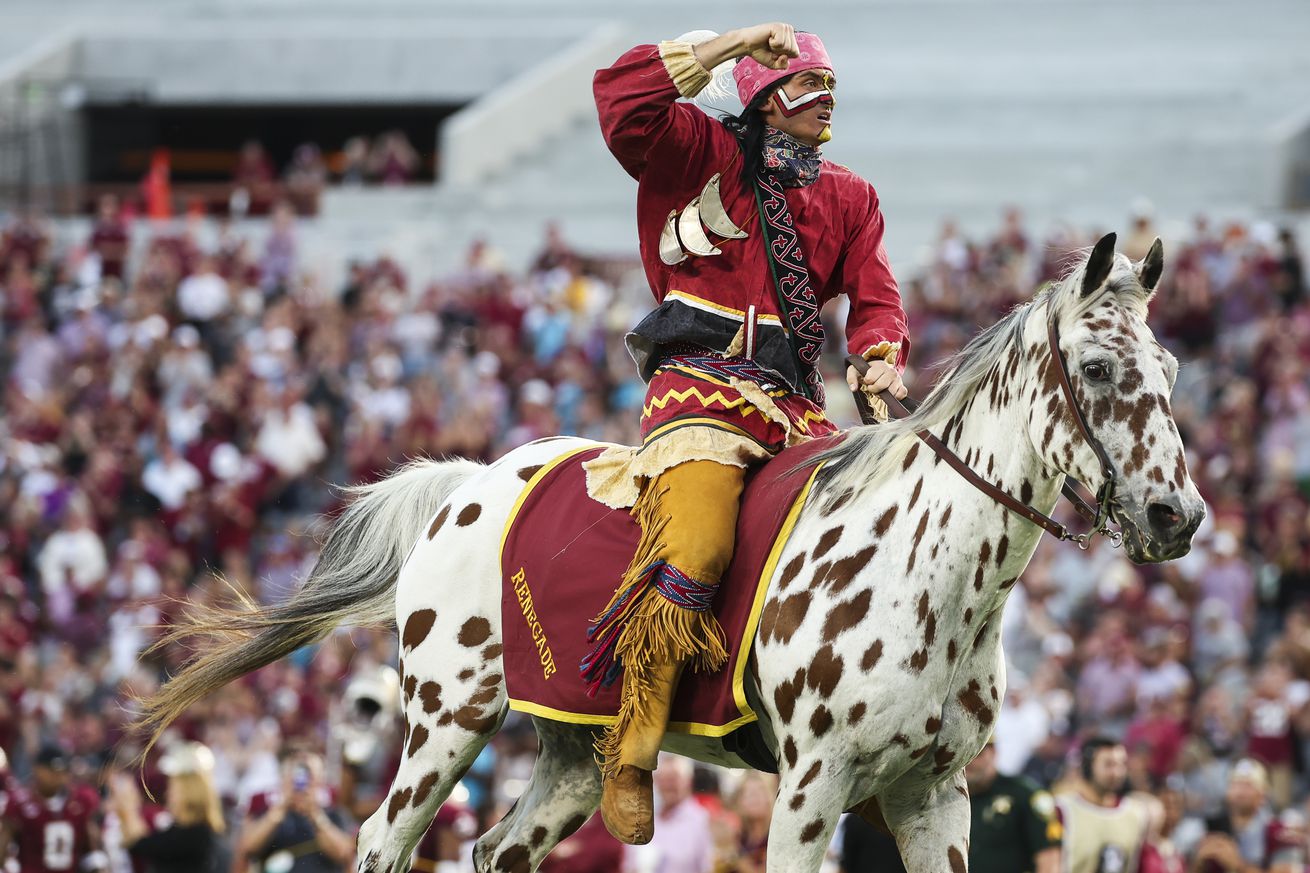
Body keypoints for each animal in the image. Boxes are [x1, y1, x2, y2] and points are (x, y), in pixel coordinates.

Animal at [135, 233, 1205, 870]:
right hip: (444, 724)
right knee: (380, 840)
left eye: (1170, 365)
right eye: (1096, 367)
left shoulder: (932, 794)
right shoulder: (814, 786)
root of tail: (468, 484)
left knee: (496, 851)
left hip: (571, 756)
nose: (1176, 516)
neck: (928, 573)